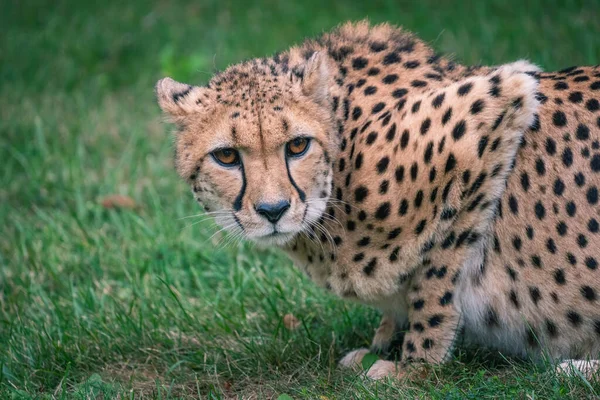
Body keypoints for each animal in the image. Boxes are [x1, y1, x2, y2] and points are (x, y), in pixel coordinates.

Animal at [156, 21, 600, 378]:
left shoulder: (493, 108)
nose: (273, 211)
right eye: (226, 156)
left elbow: (436, 275)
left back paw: (577, 369)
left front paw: (414, 365)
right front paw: (382, 342)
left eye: (297, 145)